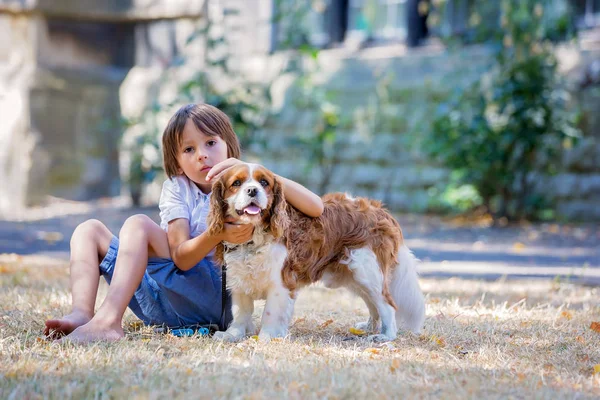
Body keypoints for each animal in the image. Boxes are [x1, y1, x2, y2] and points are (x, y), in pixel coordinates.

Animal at [209, 162, 424, 340]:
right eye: (236, 183)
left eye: (264, 182)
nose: (253, 190)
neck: (253, 240)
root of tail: (380, 210)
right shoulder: (239, 280)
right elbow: (240, 312)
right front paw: (232, 334)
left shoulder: (281, 282)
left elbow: (269, 314)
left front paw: (266, 337)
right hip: (356, 276)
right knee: (374, 304)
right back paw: (370, 327)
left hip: (368, 272)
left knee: (387, 304)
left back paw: (386, 336)